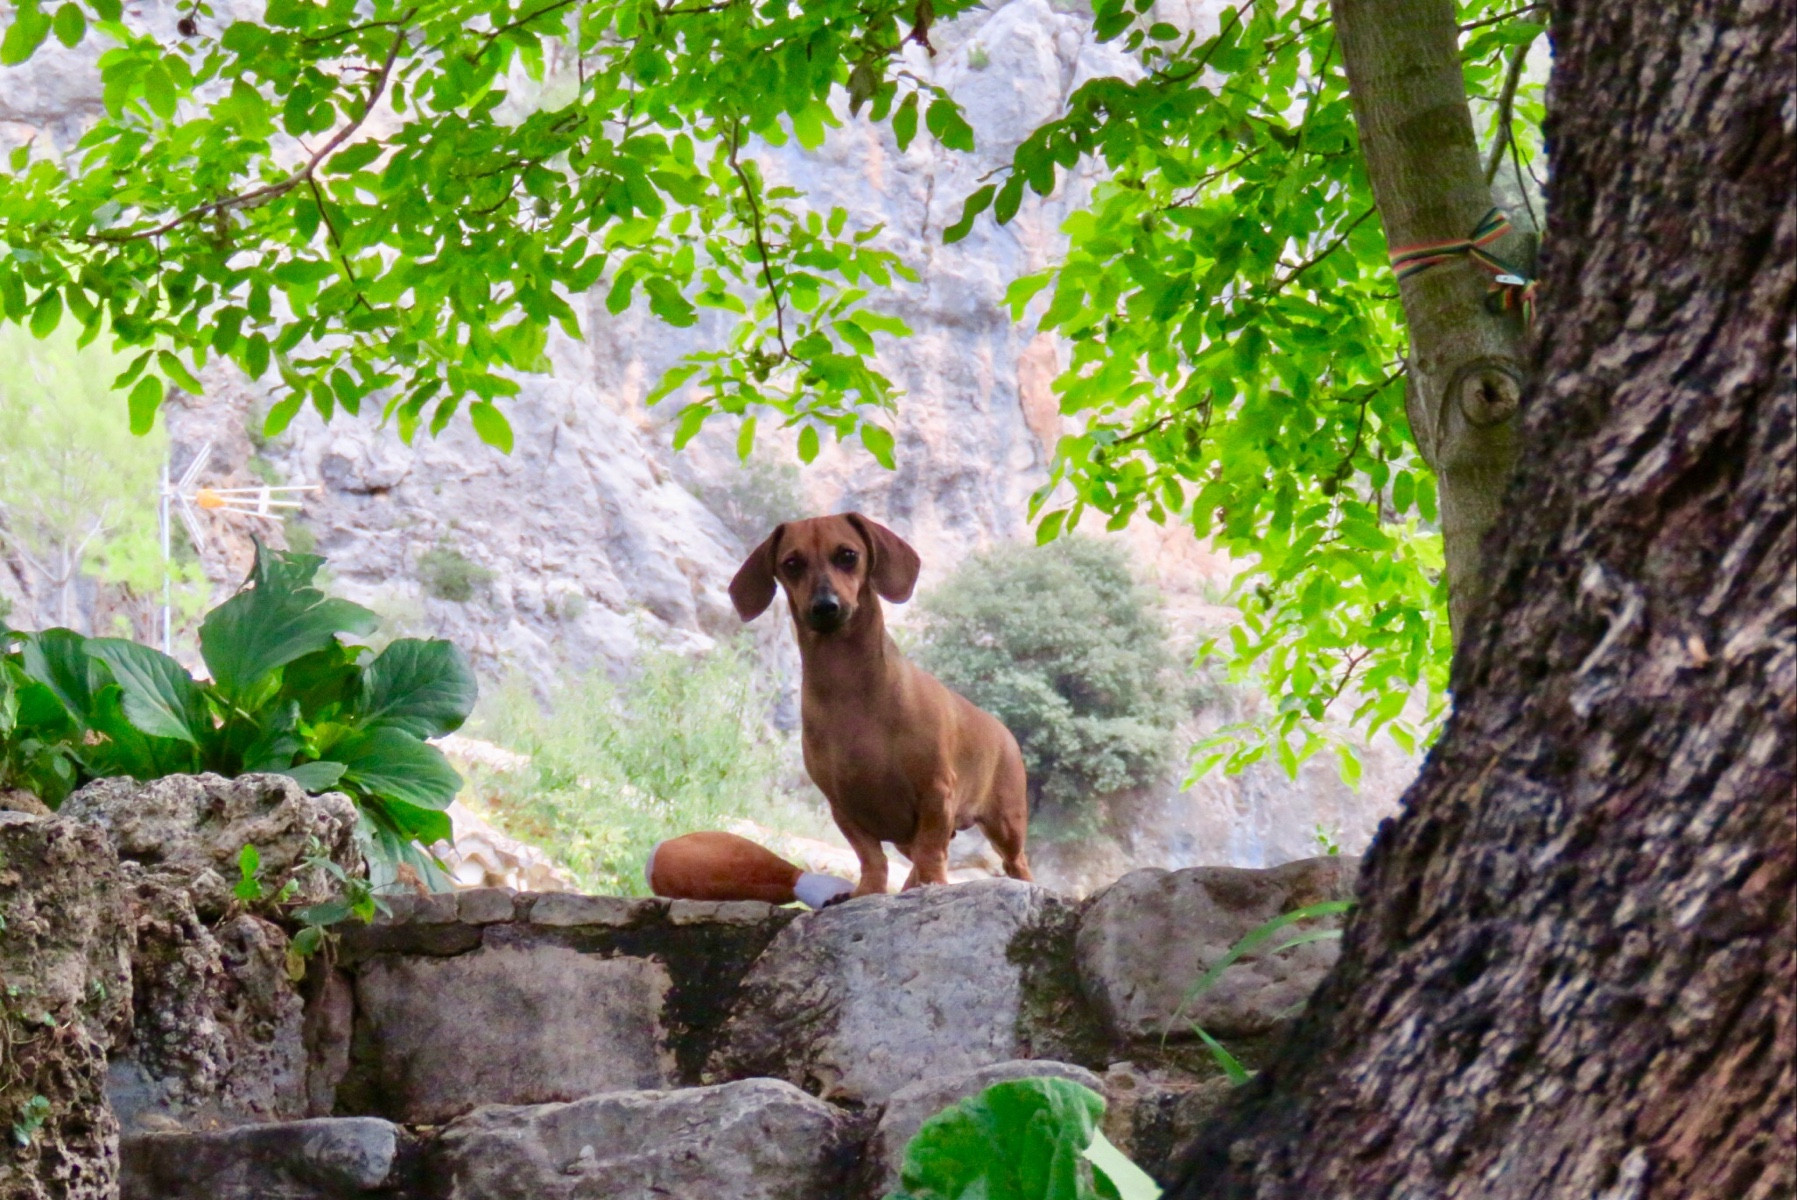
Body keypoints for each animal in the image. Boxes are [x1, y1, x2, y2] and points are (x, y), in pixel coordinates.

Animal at [729, 513, 1032, 897]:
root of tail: (1003, 730)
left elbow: (931, 850)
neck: (849, 686)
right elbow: (871, 857)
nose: (825, 606)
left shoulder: (936, 792)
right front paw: (868, 891)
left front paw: (934, 885)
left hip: (1006, 823)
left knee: (1015, 861)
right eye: (791, 563)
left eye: (848, 555)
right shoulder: (843, 806)